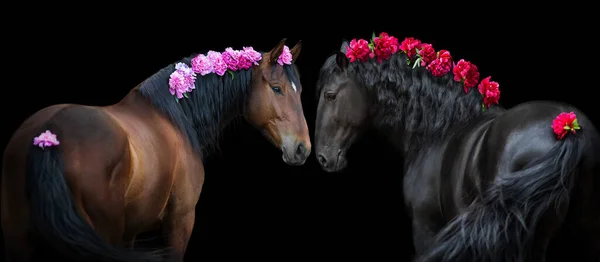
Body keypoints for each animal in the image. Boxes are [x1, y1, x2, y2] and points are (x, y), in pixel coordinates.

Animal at [3, 39, 314, 262]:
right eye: (277, 88)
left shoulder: (130, 233)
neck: (174, 115)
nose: (302, 148)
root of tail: (49, 135)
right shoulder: (180, 220)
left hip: (19, 237)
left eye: (299, 91)